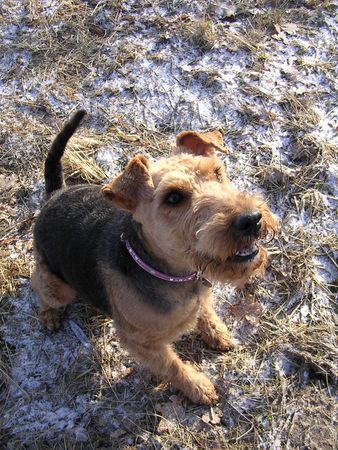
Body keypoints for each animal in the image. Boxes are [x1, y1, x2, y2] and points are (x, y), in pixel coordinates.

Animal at [32, 110, 278, 404]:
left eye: (217, 172)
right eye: (173, 197)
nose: (251, 220)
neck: (171, 272)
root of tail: (54, 195)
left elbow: (205, 311)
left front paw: (217, 333)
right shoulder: (141, 343)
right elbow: (173, 366)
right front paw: (199, 388)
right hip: (58, 286)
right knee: (41, 289)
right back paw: (49, 315)